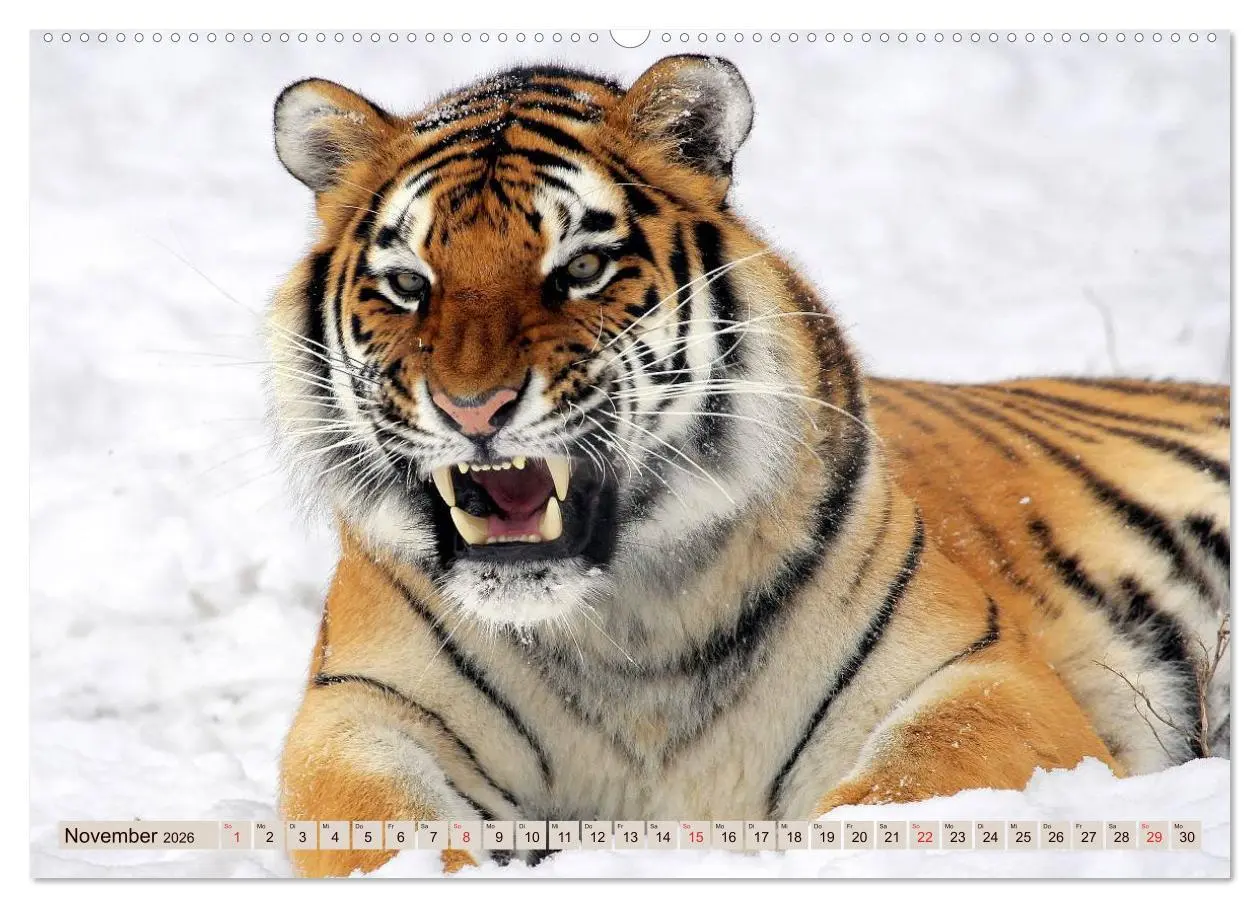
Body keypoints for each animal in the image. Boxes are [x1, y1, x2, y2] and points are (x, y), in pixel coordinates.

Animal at [265, 55, 1230, 877]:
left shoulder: (984, 674)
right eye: (408, 284)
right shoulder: (359, 709)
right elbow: (380, 831)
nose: (473, 409)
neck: (622, 631)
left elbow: (903, 792)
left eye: (582, 267)